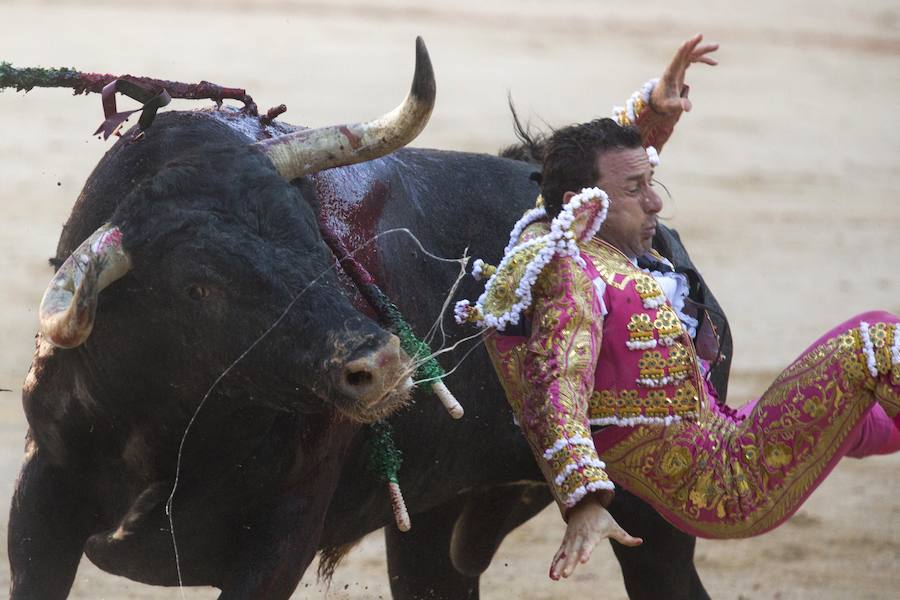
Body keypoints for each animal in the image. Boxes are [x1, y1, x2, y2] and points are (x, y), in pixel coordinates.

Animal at [8, 110, 732, 596]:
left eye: (312, 238)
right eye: (198, 286)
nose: (379, 364)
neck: (169, 424)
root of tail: (669, 254)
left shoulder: (282, 538)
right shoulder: (45, 489)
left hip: (656, 517)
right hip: (436, 524)